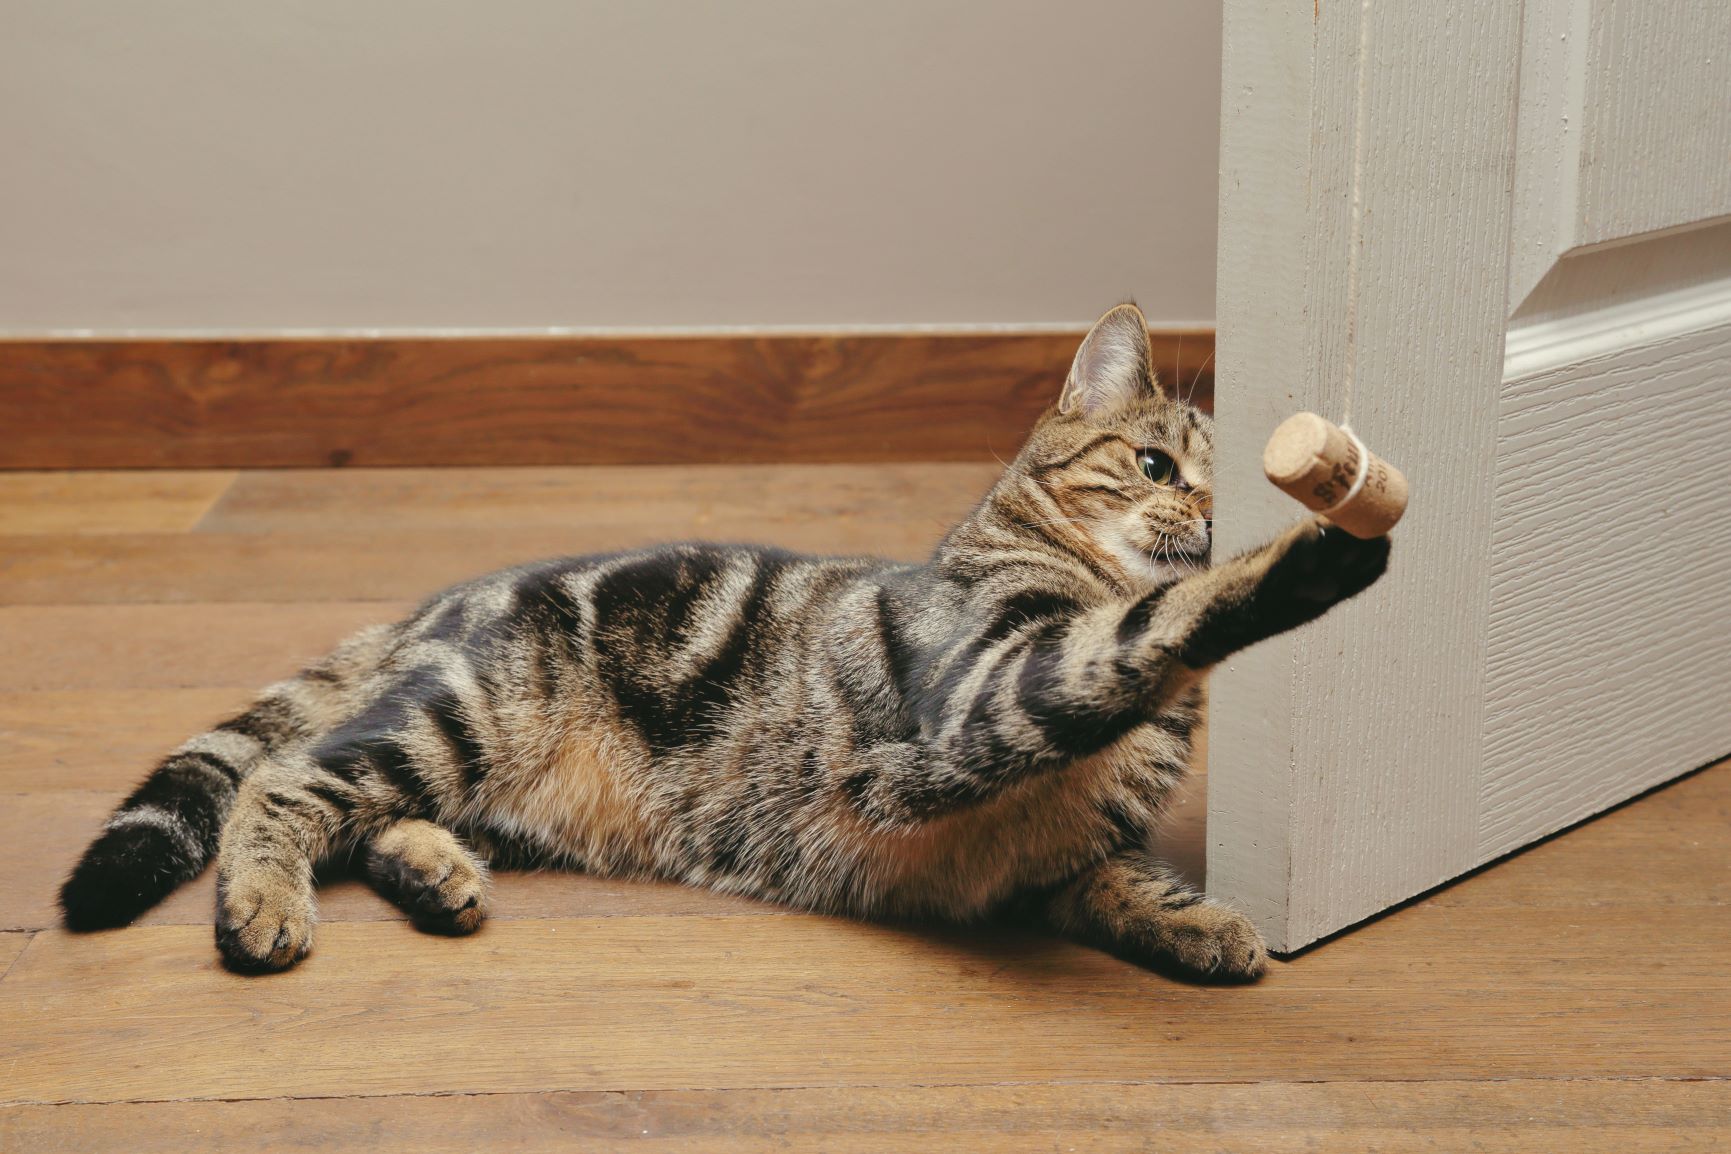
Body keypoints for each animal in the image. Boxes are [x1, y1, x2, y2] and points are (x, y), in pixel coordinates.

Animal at [61, 304, 1391, 975]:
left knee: (366, 814)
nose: (1210, 518)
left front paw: (1205, 922)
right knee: (286, 782)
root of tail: (439, 601)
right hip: (454, 716)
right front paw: (1321, 551)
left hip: (469, 768)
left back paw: (438, 873)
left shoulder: (1049, 853)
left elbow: (1121, 876)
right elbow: (1143, 631)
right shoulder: (989, 694)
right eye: (1155, 464)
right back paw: (264, 905)